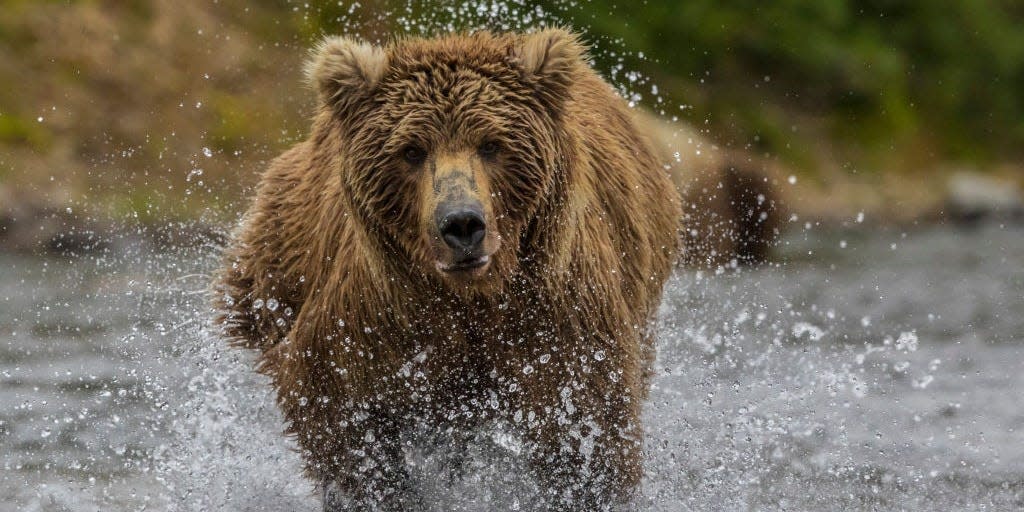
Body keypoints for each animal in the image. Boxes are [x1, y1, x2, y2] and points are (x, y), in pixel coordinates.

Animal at [215, 29, 679, 509]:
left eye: (492, 143)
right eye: (411, 150)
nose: (461, 224)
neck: (472, 295)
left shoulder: (556, 311)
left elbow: (587, 428)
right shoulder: (379, 319)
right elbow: (342, 416)